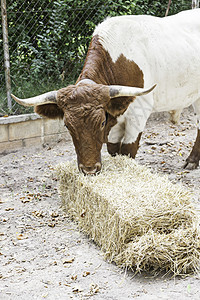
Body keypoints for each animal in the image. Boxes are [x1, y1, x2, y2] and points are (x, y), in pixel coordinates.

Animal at [12, 9, 200, 175]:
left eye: (101, 122)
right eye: (67, 126)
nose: (89, 169)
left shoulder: (138, 114)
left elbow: (127, 151)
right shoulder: (114, 120)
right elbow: (113, 149)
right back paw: (193, 160)